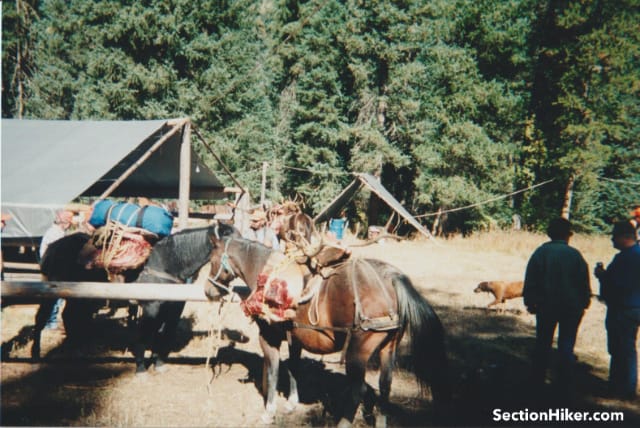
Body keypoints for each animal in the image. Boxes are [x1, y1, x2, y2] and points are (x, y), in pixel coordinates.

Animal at [205, 222, 450, 426]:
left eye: (212, 260)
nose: (208, 291)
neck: (266, 272)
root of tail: (391, 278)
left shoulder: (268, 337)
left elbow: (273, 371)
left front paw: (269, 412)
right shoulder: (296, 339)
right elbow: (293, 368)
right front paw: (292, 402)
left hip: (357, 352)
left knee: (357, 390)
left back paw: (342, 422)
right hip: (388, 348)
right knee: (384, 387)